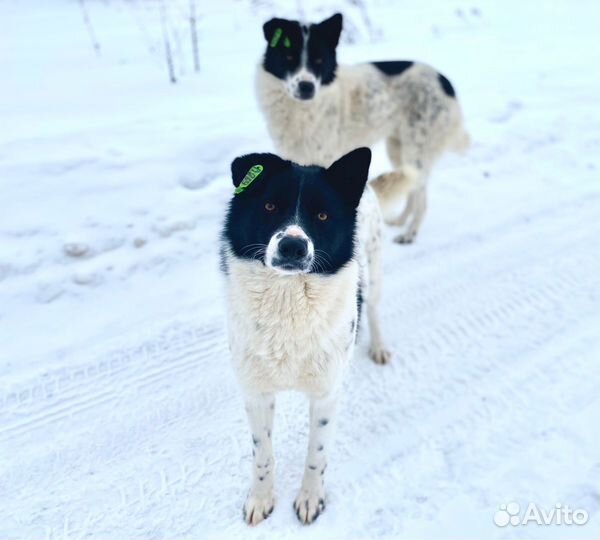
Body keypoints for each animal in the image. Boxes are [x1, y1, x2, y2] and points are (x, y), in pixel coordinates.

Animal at [219, 147, 384, 524]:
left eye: (322, 215)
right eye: (269, 206)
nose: (293, 246)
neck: (287, 299)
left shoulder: (325, 394)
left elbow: (316, 454)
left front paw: (310, 498)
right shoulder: (256, 392)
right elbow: (262, 454)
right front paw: (261, 499)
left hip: (375, 267)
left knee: (375, 307)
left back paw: (380, 347)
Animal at [255, 11, 472, 244]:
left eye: (319, 60)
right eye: (289, 58)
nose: (306, 87)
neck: (300, 108)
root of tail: (445, 82)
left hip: (416, 151)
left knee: (421, 198)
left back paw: (409, 234)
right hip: (398, 150)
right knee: (411, 189)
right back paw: (400, 221)